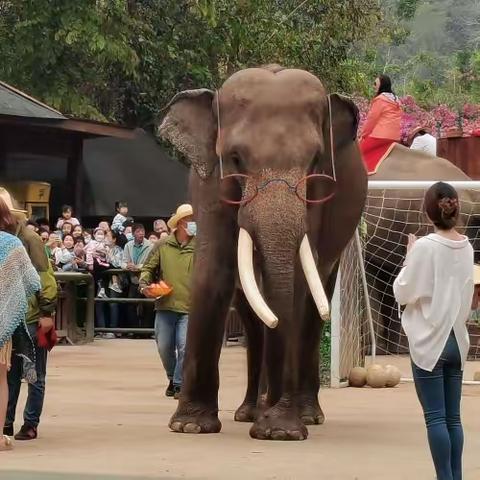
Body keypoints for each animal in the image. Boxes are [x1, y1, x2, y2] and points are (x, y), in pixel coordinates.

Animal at [159, 65, 366, 440]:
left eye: (315, 160)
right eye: (235, 158)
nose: (279, 426)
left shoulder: (319, 197)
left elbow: (298, 281)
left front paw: (280, 431)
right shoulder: (208, 183)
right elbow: (214, 269)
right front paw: (190, 426)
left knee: (312, 307)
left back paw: (304, 414)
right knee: (253, 319)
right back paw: (250, 413)